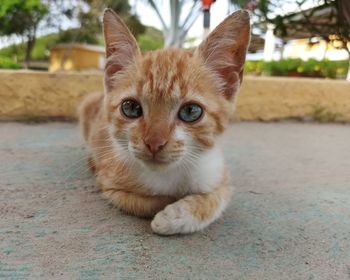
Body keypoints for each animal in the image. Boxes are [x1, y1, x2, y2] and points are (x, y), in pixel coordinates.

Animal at [79, 8, 250, 235]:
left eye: (190, 111)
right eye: (130, 108)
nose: (154, 143)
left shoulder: (221, 176)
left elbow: (217, 198)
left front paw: (177, 215)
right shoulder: (109, 185)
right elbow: (147, 201)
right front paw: (168, 209)